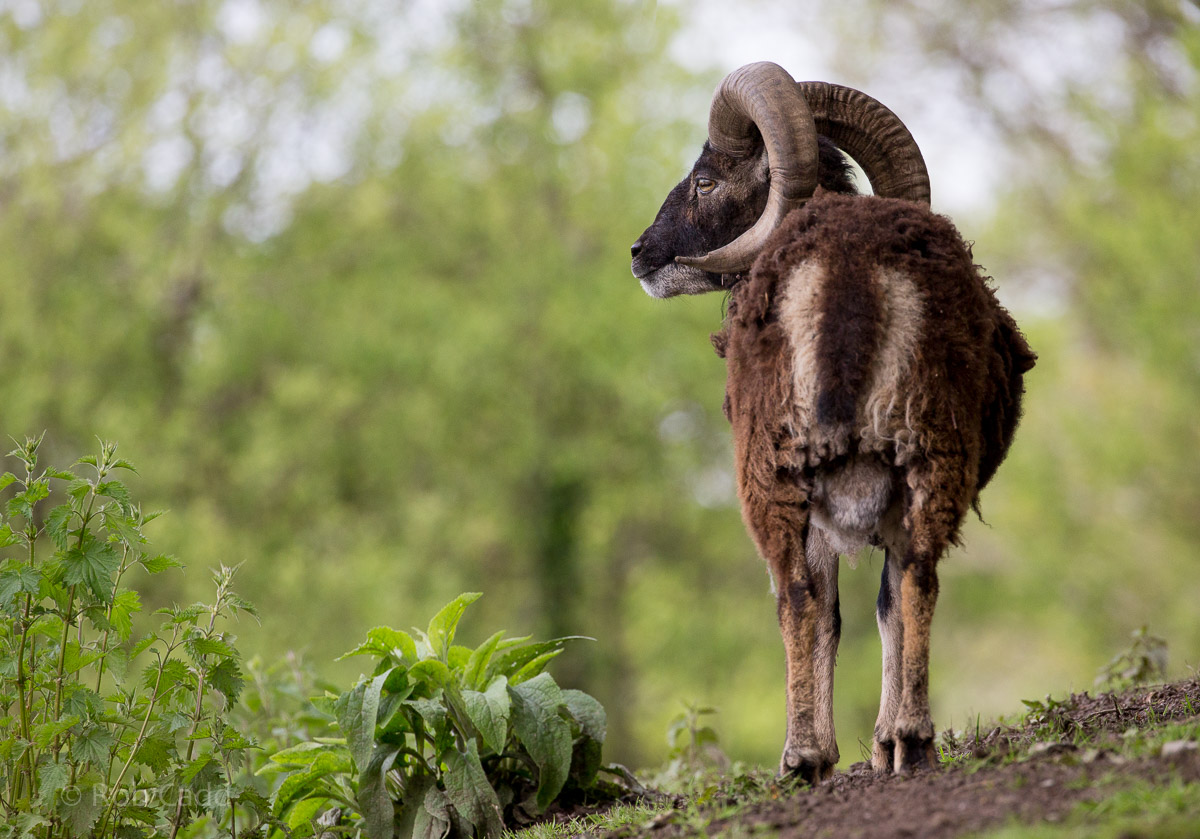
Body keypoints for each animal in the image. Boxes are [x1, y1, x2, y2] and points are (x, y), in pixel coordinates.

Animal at [629, 62, 1036, 783]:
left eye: (705, 179)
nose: (640, 252)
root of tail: (848, 265)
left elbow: (830, 609)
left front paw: (840, 753)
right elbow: (876, 606)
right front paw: (884, 750)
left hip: (776, 473)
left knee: (795, 595)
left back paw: (805, 757)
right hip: (926, 459)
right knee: (918, 579)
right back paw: (913, 740)